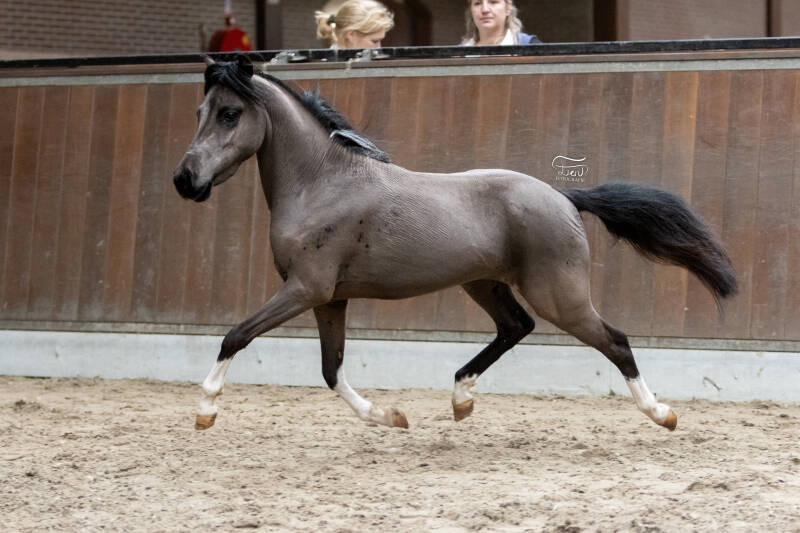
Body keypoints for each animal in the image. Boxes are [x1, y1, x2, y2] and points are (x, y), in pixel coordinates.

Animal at [173, 55, 737, 432]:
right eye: (199, 111)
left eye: (230, 114)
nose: (185, 181)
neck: (322, 183)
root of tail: (562, 195)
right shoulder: (329, 298)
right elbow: (331, 370)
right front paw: (390, 416)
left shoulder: (305, 289)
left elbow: (236, 336)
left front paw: (205, 409)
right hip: (485, 284)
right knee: (515, 327)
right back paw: (461, 397)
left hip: (560, 295)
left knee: (614, 340)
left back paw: (662, 413)